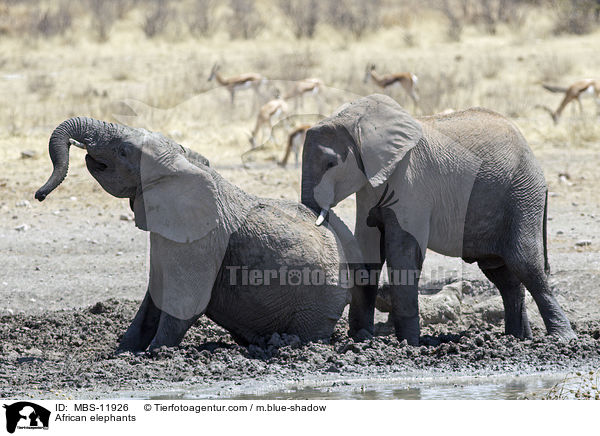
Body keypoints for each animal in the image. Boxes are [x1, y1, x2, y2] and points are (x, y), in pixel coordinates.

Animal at [35, 117, 360, 352]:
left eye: (124, 150)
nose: (39, 195)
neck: (182, 163)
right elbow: (155, 297)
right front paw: (124, 351)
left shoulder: (201, 238)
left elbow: (184, 301)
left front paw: (154, 353)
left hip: (320, 298)